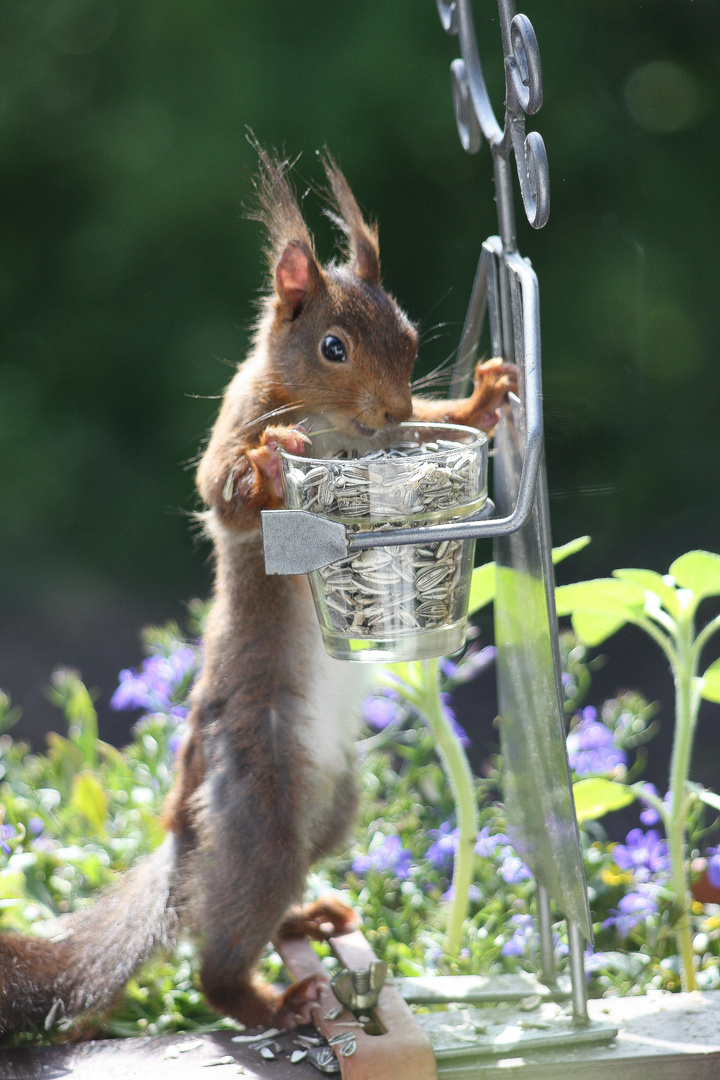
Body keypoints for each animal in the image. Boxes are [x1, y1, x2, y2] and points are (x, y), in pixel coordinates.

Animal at [0, 147, 518, 1032]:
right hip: (263, 807)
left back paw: (309, 921)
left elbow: (444, 426)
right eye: (333, 346)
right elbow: (222, 490)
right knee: (220, 959)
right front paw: (273, 463)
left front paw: (482, 398)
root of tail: (186, 837)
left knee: (266, 899)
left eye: (412, 338)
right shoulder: (236, 422)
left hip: (336, 803)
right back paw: (274, 1001)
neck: (341, 428)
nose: (393, 410)